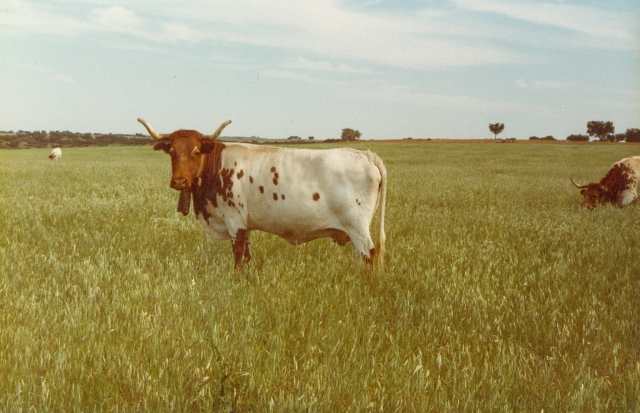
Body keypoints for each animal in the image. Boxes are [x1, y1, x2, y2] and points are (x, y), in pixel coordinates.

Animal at [139, 117, 384, 268]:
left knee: (369, 255)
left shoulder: (234, 221)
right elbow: (247, 256)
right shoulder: (246, 225)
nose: (179, 181)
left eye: (196, 151)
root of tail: (367, 154)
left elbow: (238, 255)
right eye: (171, 151)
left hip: (358, 228)